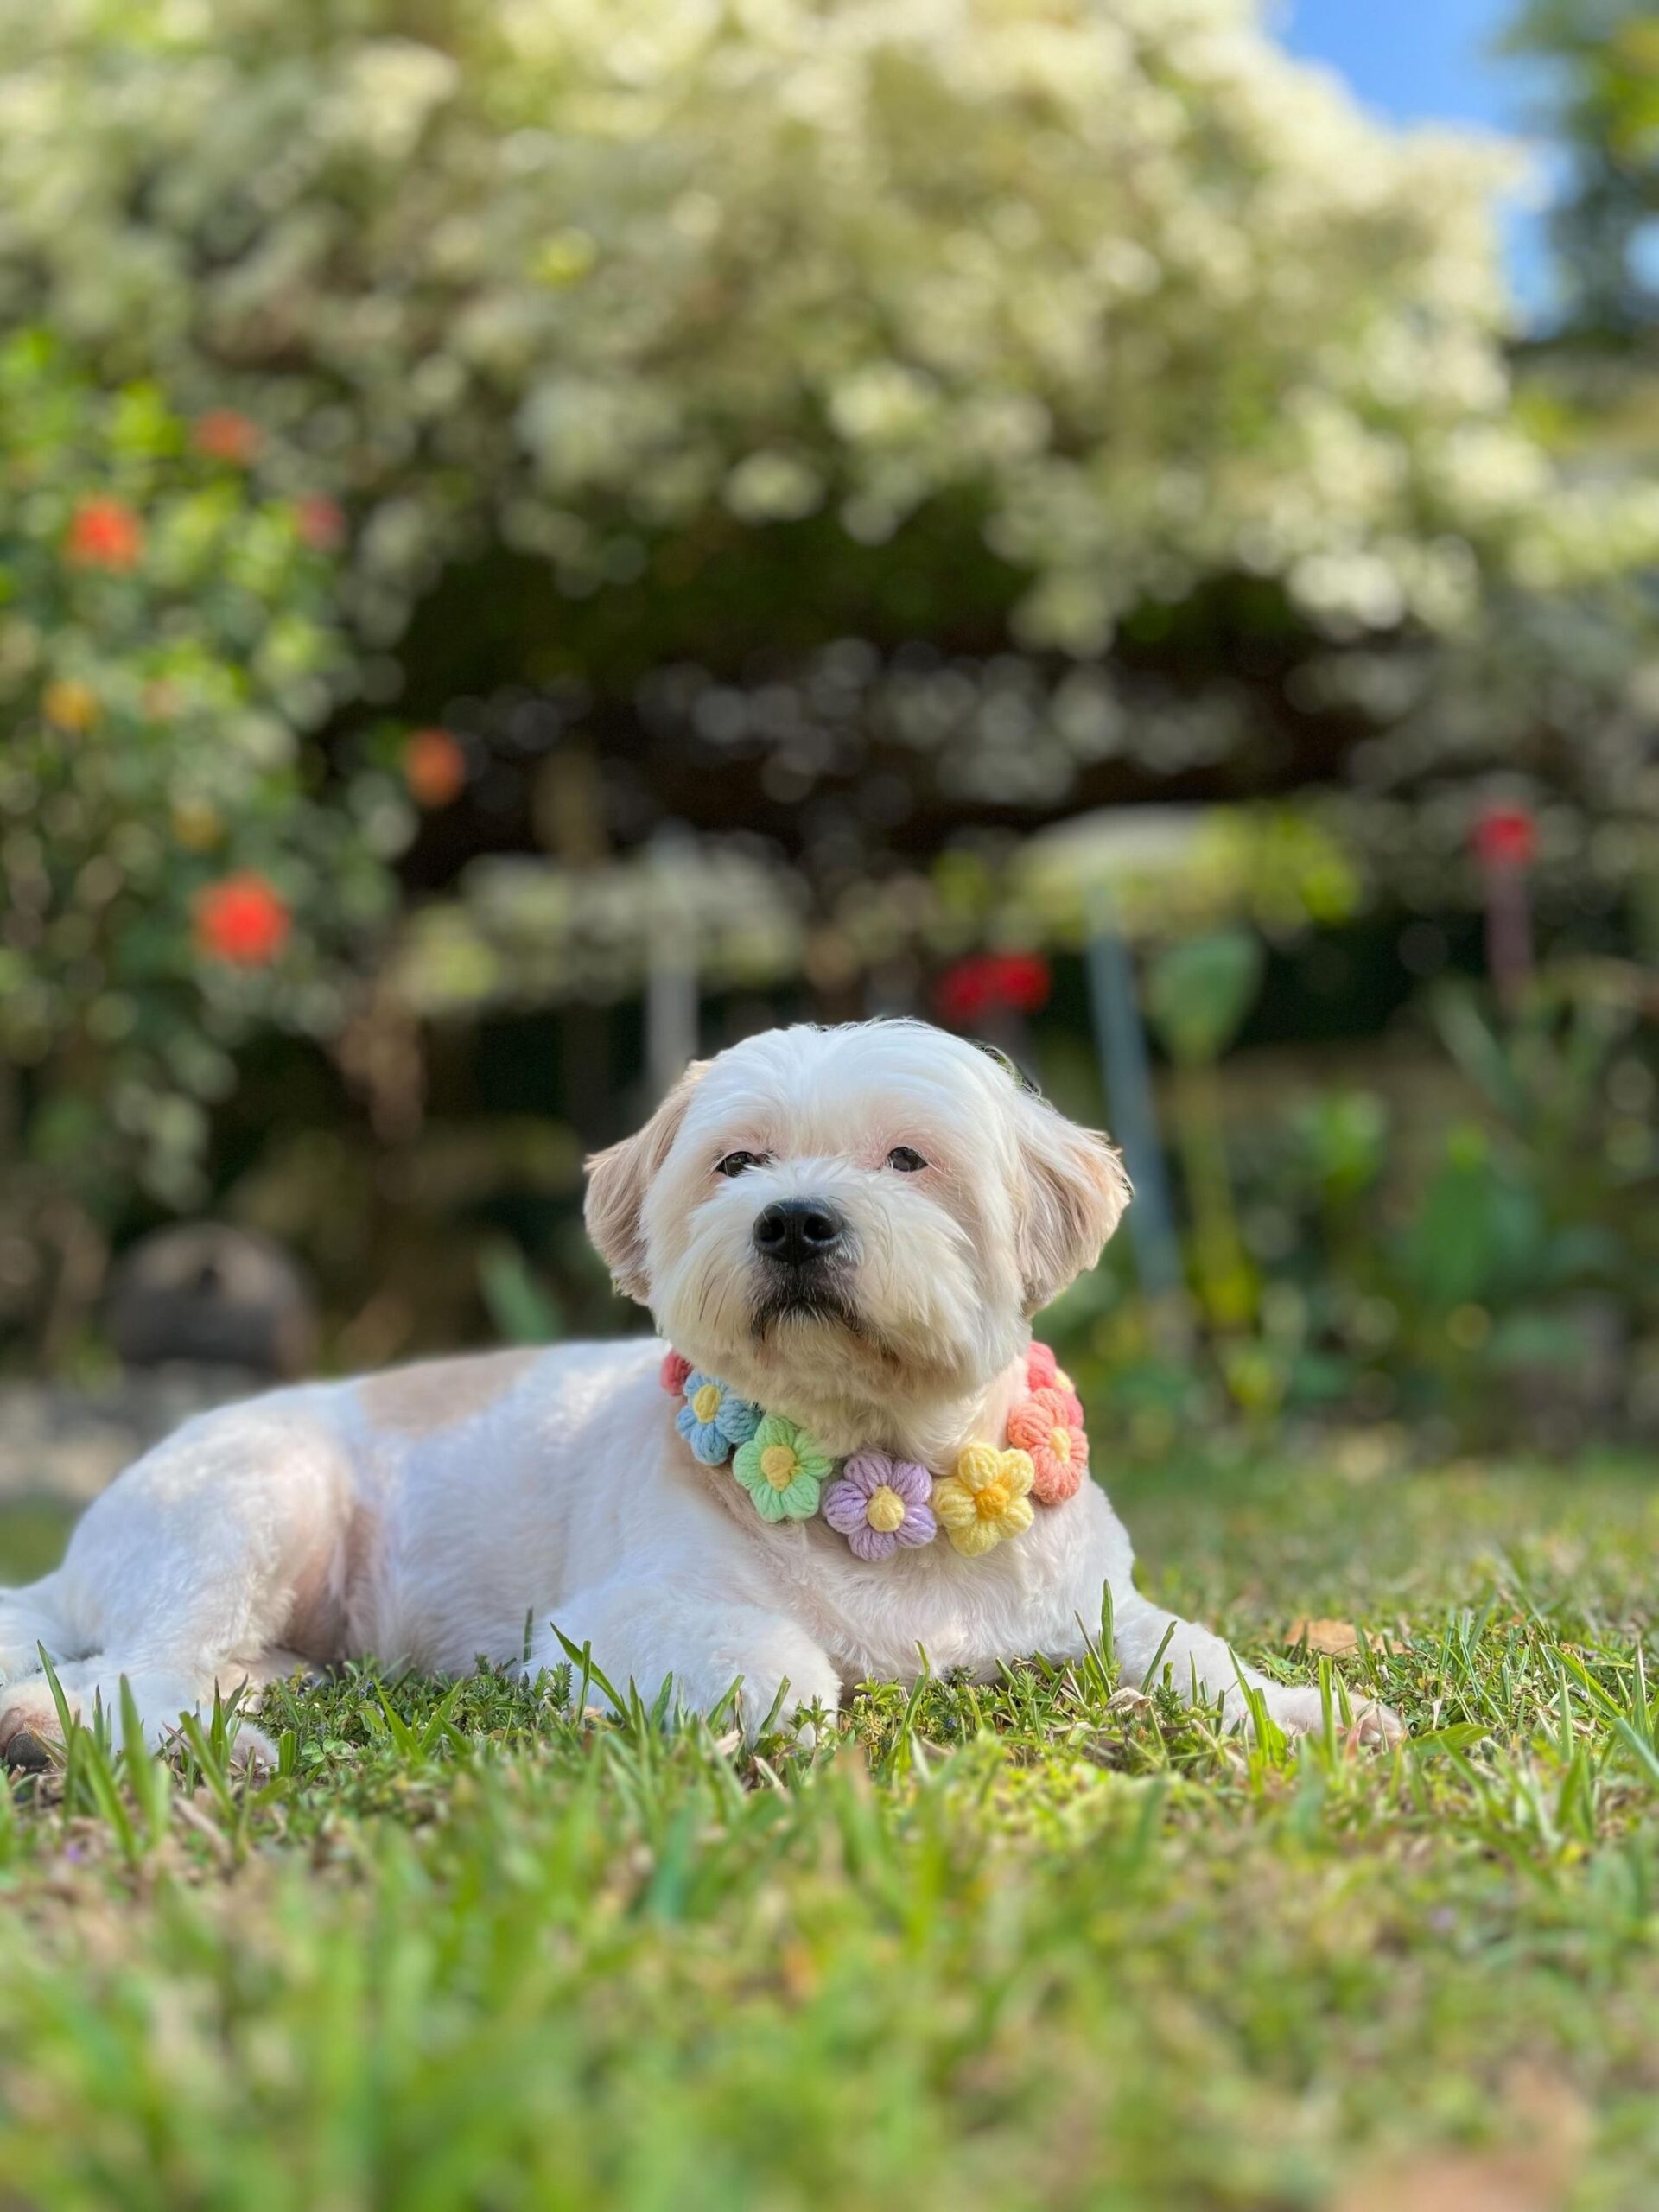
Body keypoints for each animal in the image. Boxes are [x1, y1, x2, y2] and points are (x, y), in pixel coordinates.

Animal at [0, 1017, 1407, 1760]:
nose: (792, 1221)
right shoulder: (613, 1622)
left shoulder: (1093, 1602)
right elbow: (789, 1667)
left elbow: (1194, 1650)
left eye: (909, 1160)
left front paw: (1301, 1704)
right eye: (738, 1165)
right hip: (256, 1503)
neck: (880, 1471)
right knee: (110, 1676)